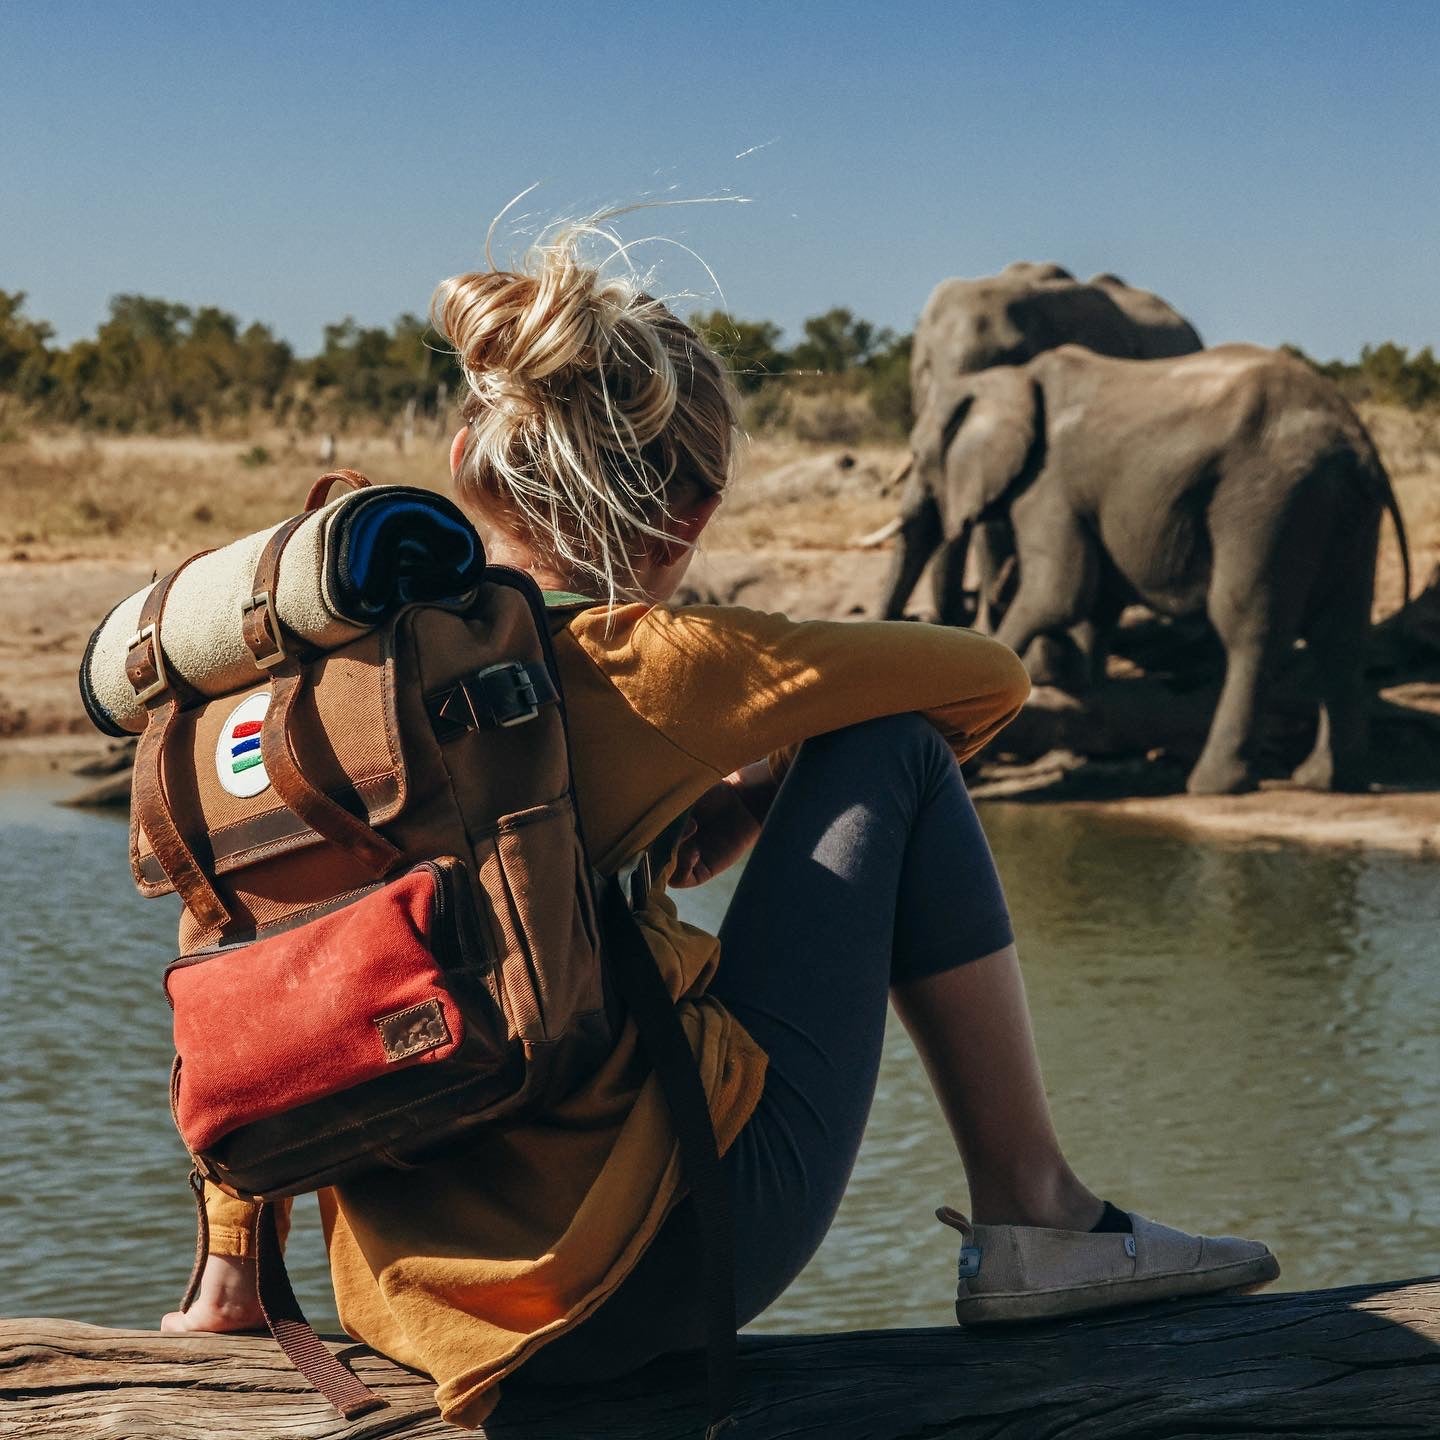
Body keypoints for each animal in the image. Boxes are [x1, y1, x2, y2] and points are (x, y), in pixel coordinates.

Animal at [885, 343, 1410, 795]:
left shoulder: (1049, 483)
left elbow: (1059, 592)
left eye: (918, 457)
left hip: (1268, 497)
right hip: (1342, 507)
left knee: (1248, 625)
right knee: (1341, 632)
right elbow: (1096, 601)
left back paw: (1213, 785)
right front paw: (1080, 682)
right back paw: (1329, 780)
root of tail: (1358, 438)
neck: (1010, 379)